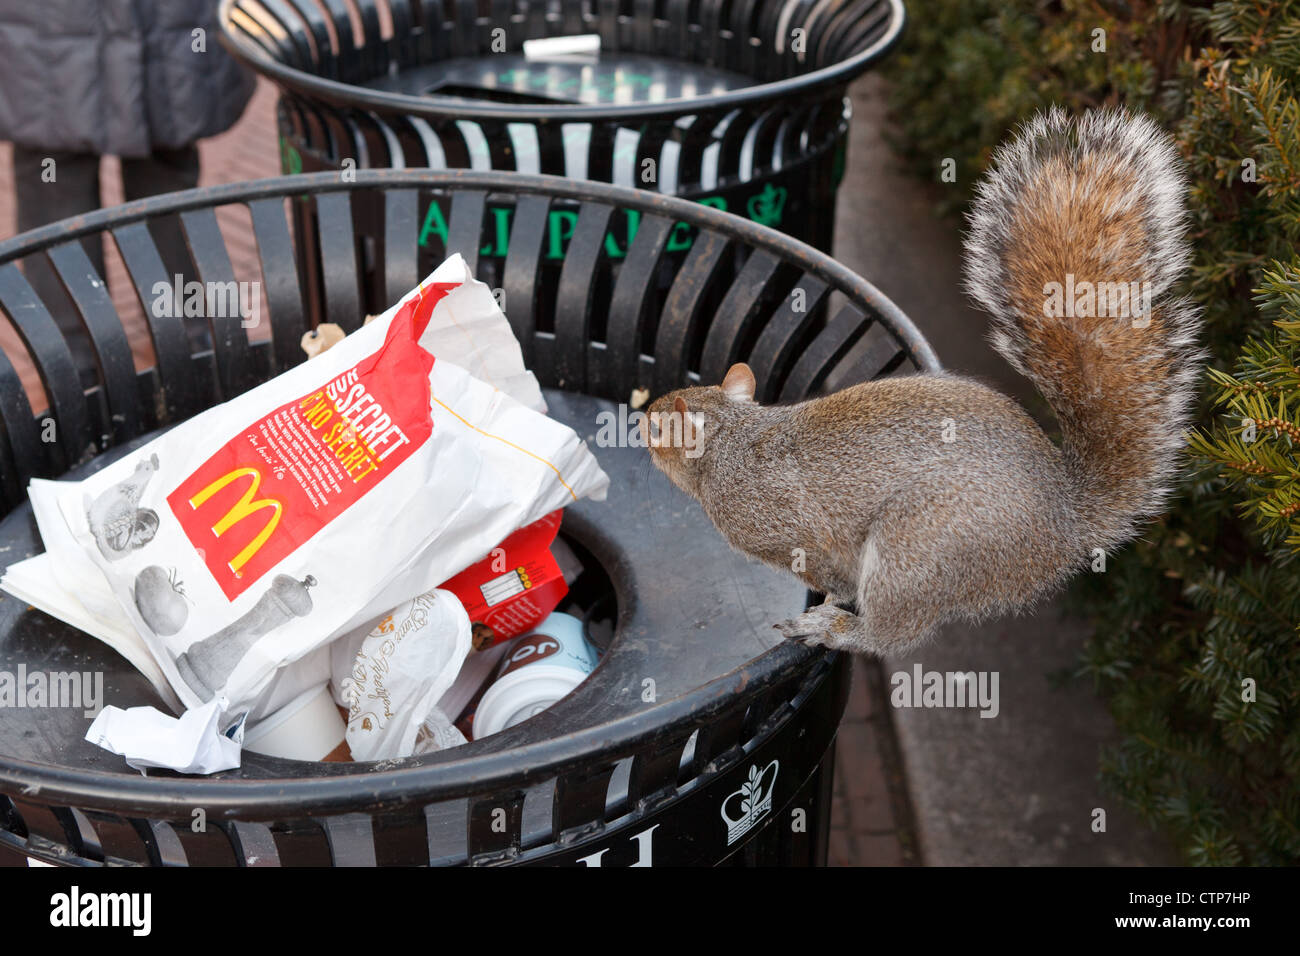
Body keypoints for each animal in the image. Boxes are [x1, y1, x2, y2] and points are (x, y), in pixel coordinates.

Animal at [644, 108, 1201, 655]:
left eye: (658, 429)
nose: (640, 418)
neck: (731, 440)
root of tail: (1062, 523)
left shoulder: (785, 529)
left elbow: (829, 573)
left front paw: (829, 604)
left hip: (918, 544)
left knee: (894, 631)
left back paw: (840, 630)